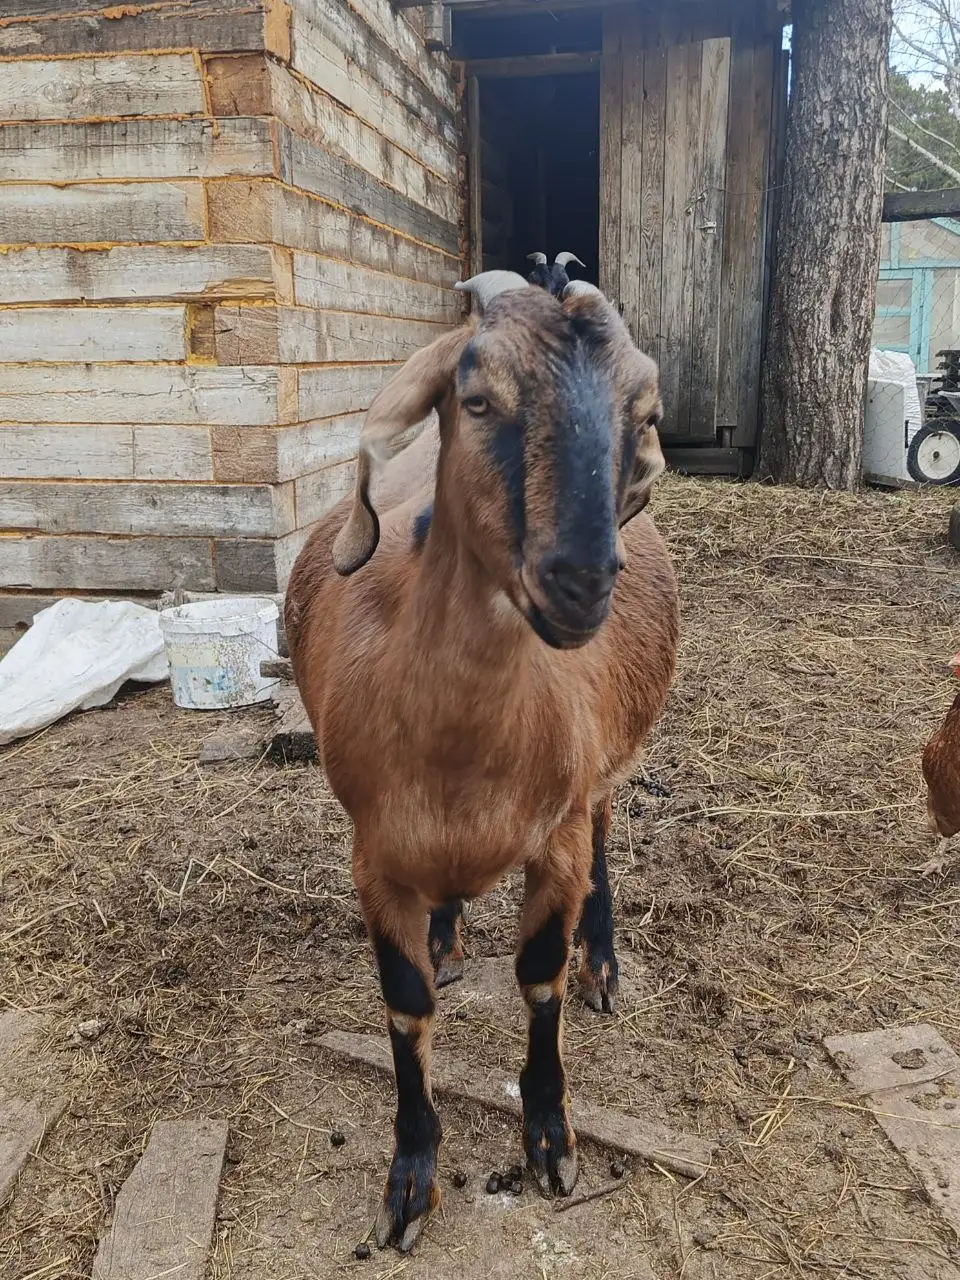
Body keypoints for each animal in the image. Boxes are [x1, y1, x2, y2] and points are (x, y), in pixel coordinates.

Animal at [284, 271, 679, 1252]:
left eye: (643, 413)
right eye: (476, 400)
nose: (581, 582)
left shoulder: (558, 836)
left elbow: (539, 976)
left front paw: (551, 1142)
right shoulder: (375, 856)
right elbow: (405, 1004)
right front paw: (411, 1180)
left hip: (602, 775)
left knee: (607, 834)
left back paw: (603, 965)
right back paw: (448, 933)